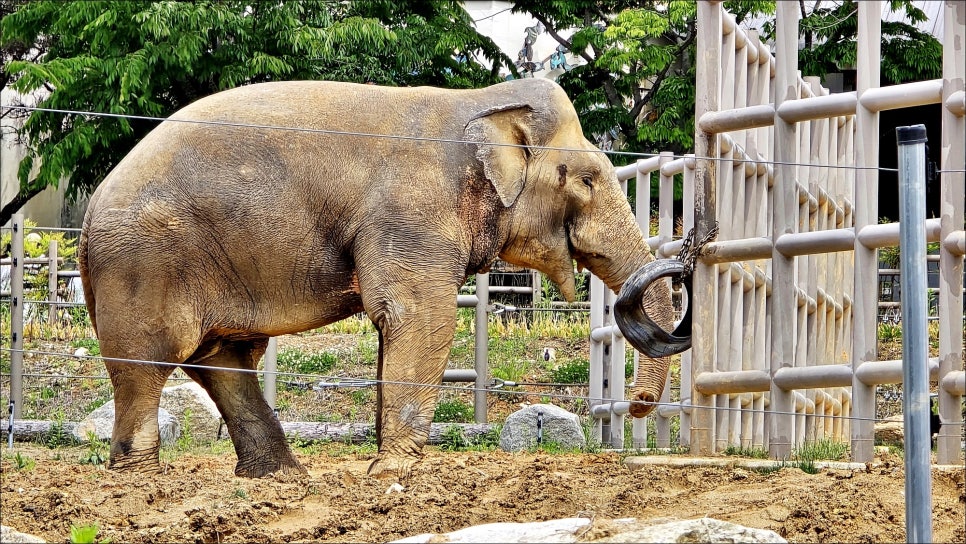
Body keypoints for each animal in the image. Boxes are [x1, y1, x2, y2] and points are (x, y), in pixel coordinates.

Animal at [79, 77, 684, 480]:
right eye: (586, 179)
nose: (635, 404)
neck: (479, 101)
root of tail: (88, 215)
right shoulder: (412, 215)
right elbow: (419, 316)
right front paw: (393, 474)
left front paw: (382, 467)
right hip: (146, 263)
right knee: (148, 364)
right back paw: (142, 480)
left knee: (224, 360)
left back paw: (280, 479)